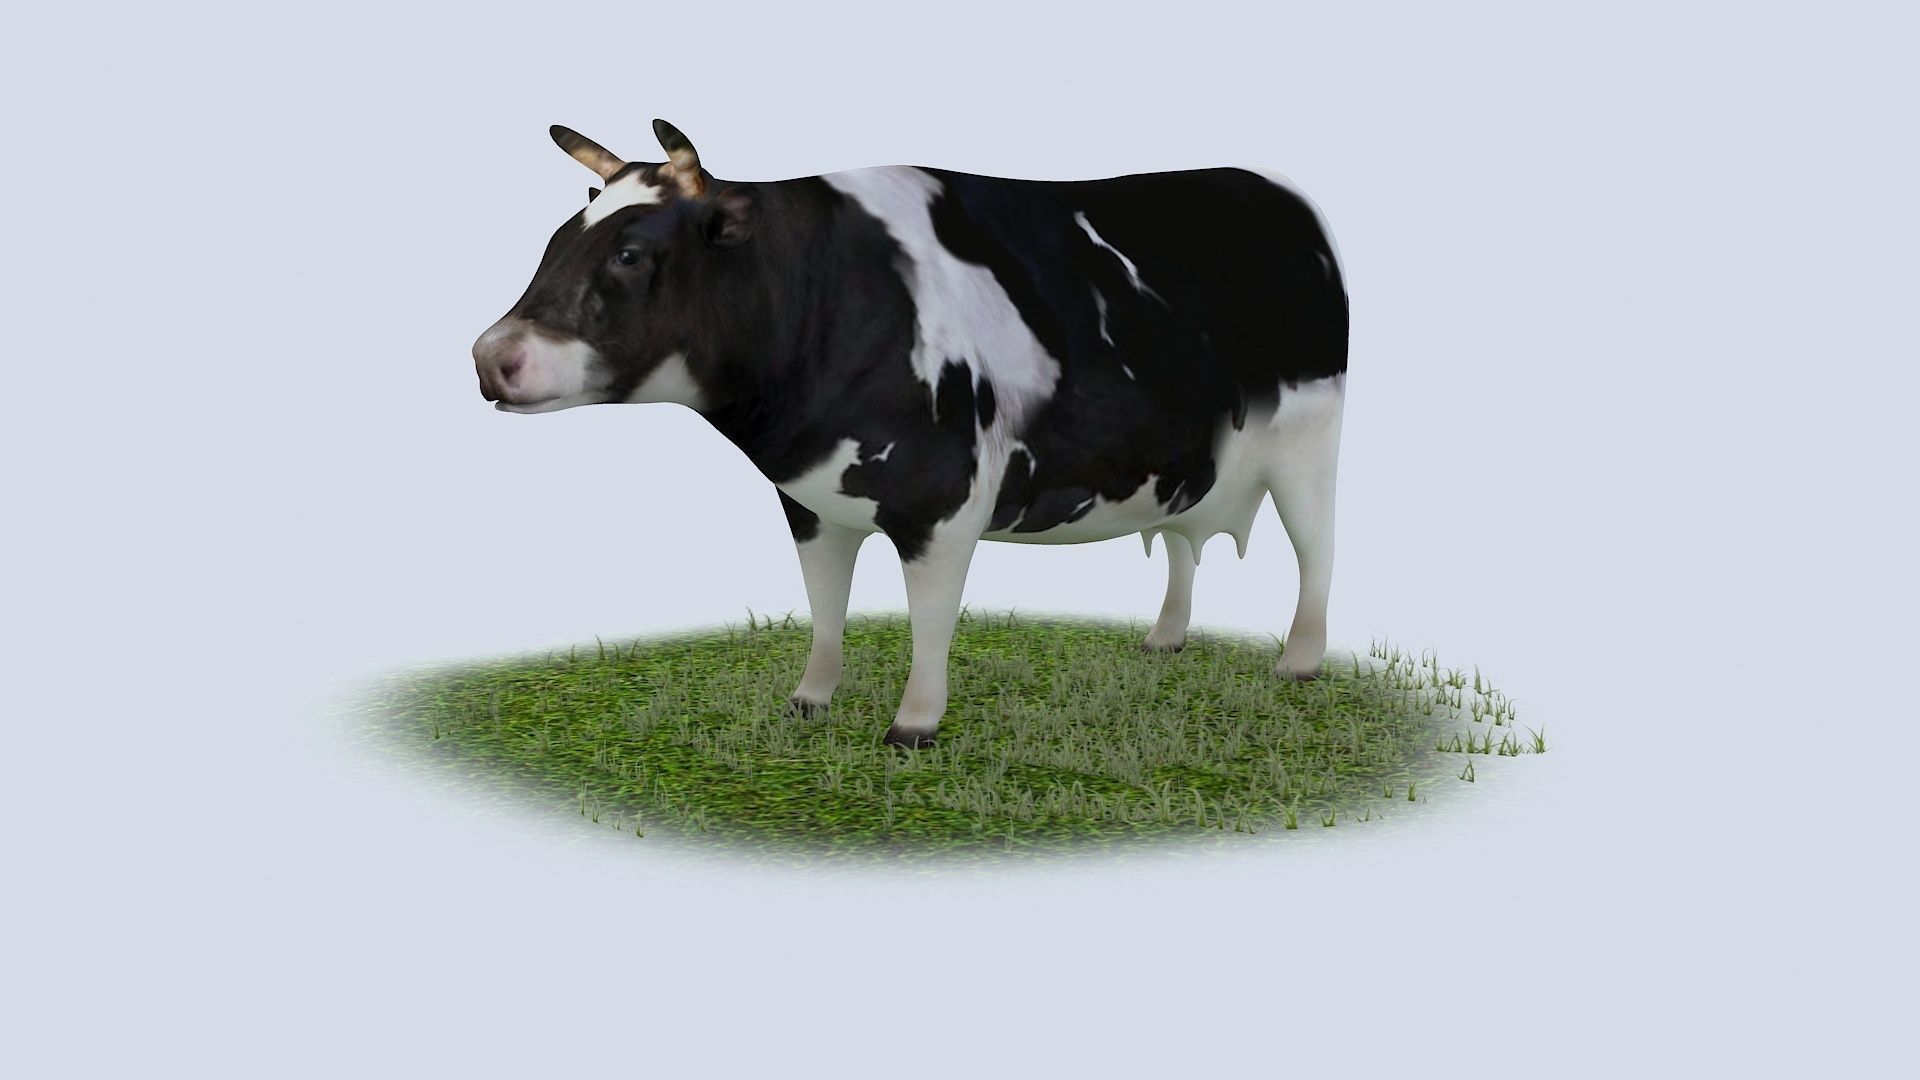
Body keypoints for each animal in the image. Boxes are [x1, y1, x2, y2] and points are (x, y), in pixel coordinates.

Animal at [473, 120, 1348, 748]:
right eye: (555, 243)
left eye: (629, 253)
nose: (490, 358)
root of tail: (1272, 188)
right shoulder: (809, 501)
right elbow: (825, 603)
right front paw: (809, 700)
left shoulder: (944, 501)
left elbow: (930, 616)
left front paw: (914, 725)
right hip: (1179, 458)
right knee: (1179, 538)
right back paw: (1165, 641)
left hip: (1310, 445)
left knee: (1317, 551)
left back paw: (1299, 662)